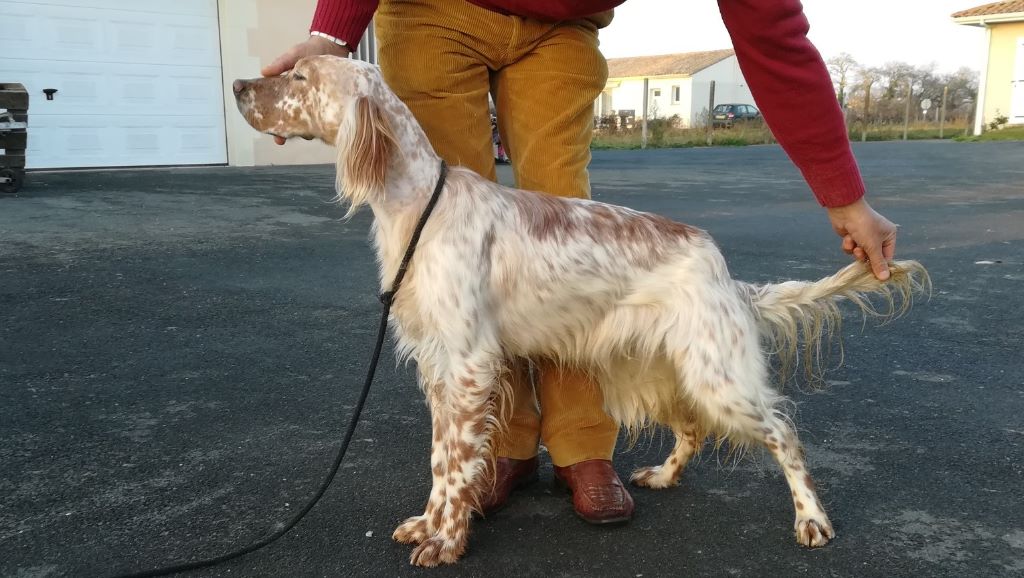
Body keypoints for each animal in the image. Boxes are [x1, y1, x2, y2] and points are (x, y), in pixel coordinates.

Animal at [232, 56, 929, 565]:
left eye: (300, 77)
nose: (238, 84)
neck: (416, 204)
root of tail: (726, 272)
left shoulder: (467, 365)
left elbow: (455, 467)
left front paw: (447, 540)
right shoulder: (439, 369)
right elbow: (440, 461)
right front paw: (429, 523)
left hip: (717, 373)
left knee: (784, 433)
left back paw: (812, 520)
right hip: (663, 367)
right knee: (694, 428)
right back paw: (662, 478)